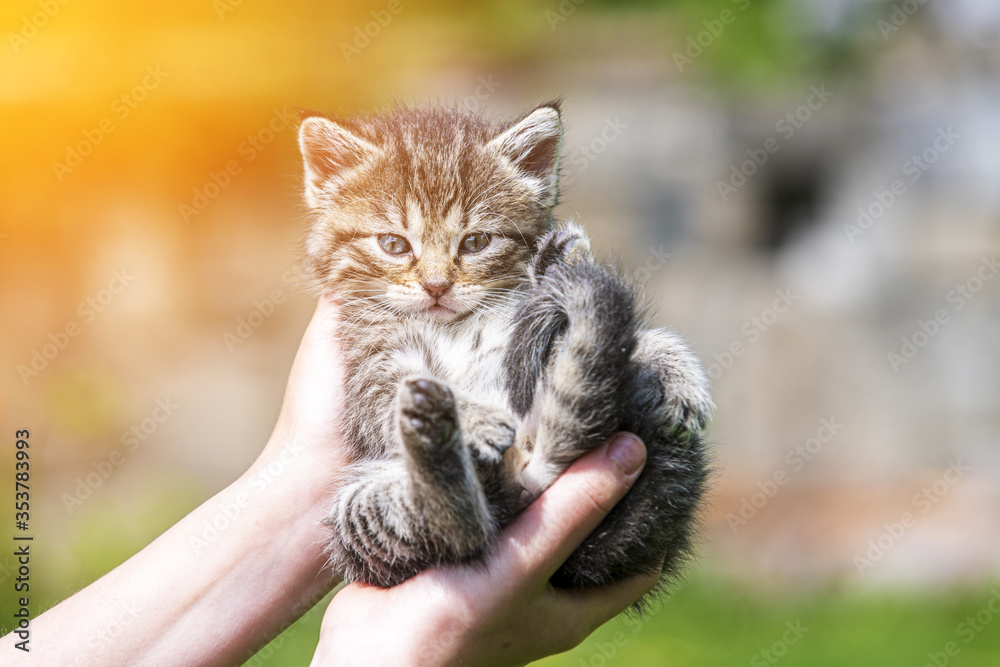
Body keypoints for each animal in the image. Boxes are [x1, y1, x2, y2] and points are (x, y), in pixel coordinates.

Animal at [296, 102, 712, 604]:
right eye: (393, 244)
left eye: (476, 242)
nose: (436, 286)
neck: (451, 326)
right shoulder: (366, 367)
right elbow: (388, 399)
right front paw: (472, 418)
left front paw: (677, 371)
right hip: (357, 515)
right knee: (464, 531)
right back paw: (440, 435)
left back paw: (559, 263)